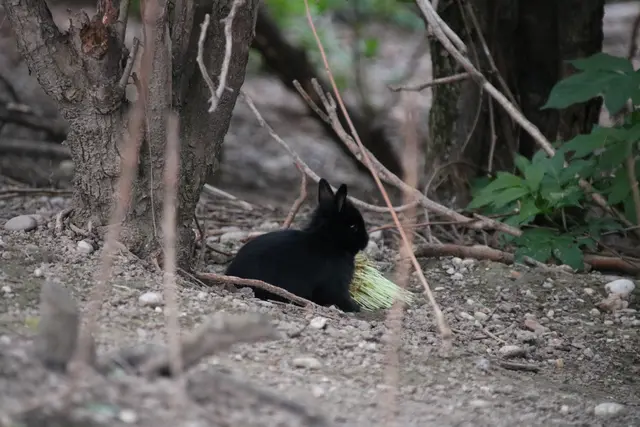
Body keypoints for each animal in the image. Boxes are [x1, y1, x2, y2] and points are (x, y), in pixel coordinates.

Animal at [225, 178, 369, 312]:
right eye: (353, 227)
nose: (366, 241)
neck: (328, 240)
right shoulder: (336, 284)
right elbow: (340, 297)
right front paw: (356, 307)